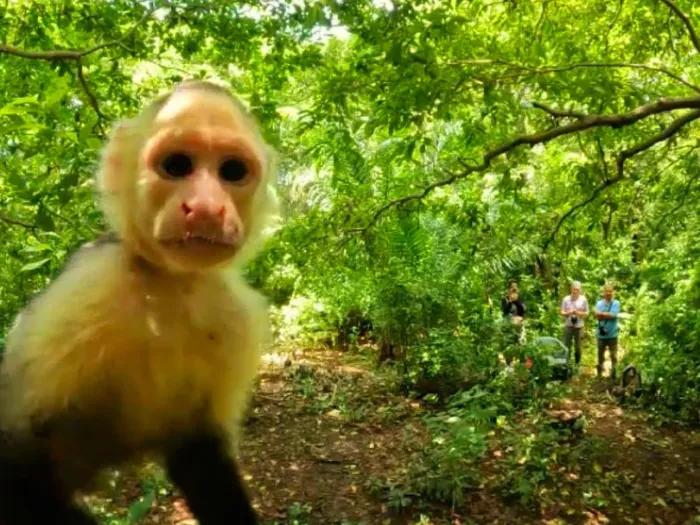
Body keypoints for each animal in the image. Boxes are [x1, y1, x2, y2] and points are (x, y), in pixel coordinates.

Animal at [0, 80, 278, 525]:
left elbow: (199, 454)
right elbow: (13, 463)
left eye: (232, 171)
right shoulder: (88, 284)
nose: (206, 207)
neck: (168, 286)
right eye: (177, 165)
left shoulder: (238, 316)